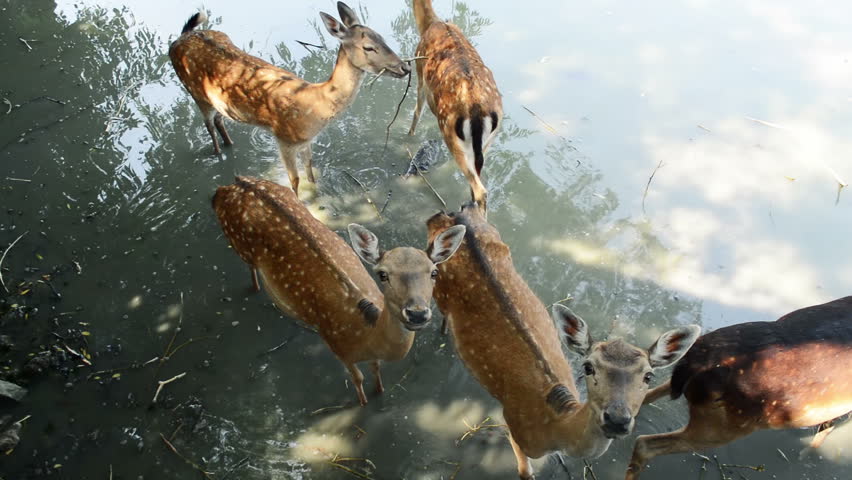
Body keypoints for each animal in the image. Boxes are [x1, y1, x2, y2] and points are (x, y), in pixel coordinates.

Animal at [170, 2, 410, 195]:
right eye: (368, 47)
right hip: (195, 91)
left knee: (219, 120)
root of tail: (180, 38)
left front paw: (318, 196)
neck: (316, 106)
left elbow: (310, 170)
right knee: (209, 125)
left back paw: (230, 145)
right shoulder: (284, 139)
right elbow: (294, 180)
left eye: (382, 38)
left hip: (219, 102)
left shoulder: (305, 141)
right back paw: (218, 153)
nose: (405, 67)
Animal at [212, 176, 465, 405]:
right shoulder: (336, 345)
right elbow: (357, 378)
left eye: (434, 272)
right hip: (237, 243)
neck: (365, 334)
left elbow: (375, 369)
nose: (417, 313)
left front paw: (380, 391)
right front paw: (363, 403)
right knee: (250, 267)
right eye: (382, 274)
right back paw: (255, 288)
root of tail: (231, 184)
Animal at [409, 0, 503, 212]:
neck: (428, 23)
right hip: (487, 142)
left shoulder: (419, 73)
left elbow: (417, 112)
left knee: (480, 189)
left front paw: (408, 137)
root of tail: (478, 111)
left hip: (450, 132)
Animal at [425, 203, 700, 479]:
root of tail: (456, 213)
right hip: (438, 285)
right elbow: (525, 473)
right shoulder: (515, 428)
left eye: (648, 376)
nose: (617, 419)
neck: (556, 428)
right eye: (588, 367)